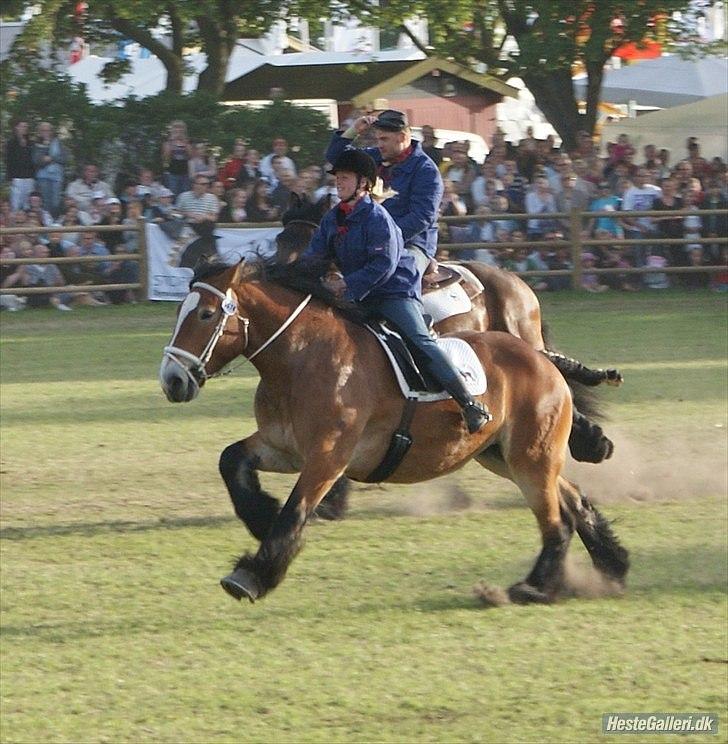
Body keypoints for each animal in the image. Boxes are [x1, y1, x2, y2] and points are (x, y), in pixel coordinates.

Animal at [161, 258, 632, 608]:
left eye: (205, 314)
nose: (172, 380)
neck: (301, 357)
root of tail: (540, 358)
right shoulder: (283, 447)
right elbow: (231, 461)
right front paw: (260, 514)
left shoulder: (327, 458)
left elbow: (295, 512)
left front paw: (254, 574)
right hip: (504, 456)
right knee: (573, 501)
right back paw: (612, 563)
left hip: (530, 457)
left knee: (556, 520)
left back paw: (535, 587)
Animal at [276, 198, 624, 520]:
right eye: (280, 239)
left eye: (309, 240)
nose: (281, 274)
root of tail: (511, 279)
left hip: (524, 340)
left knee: (557, 373)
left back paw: (596, 432)